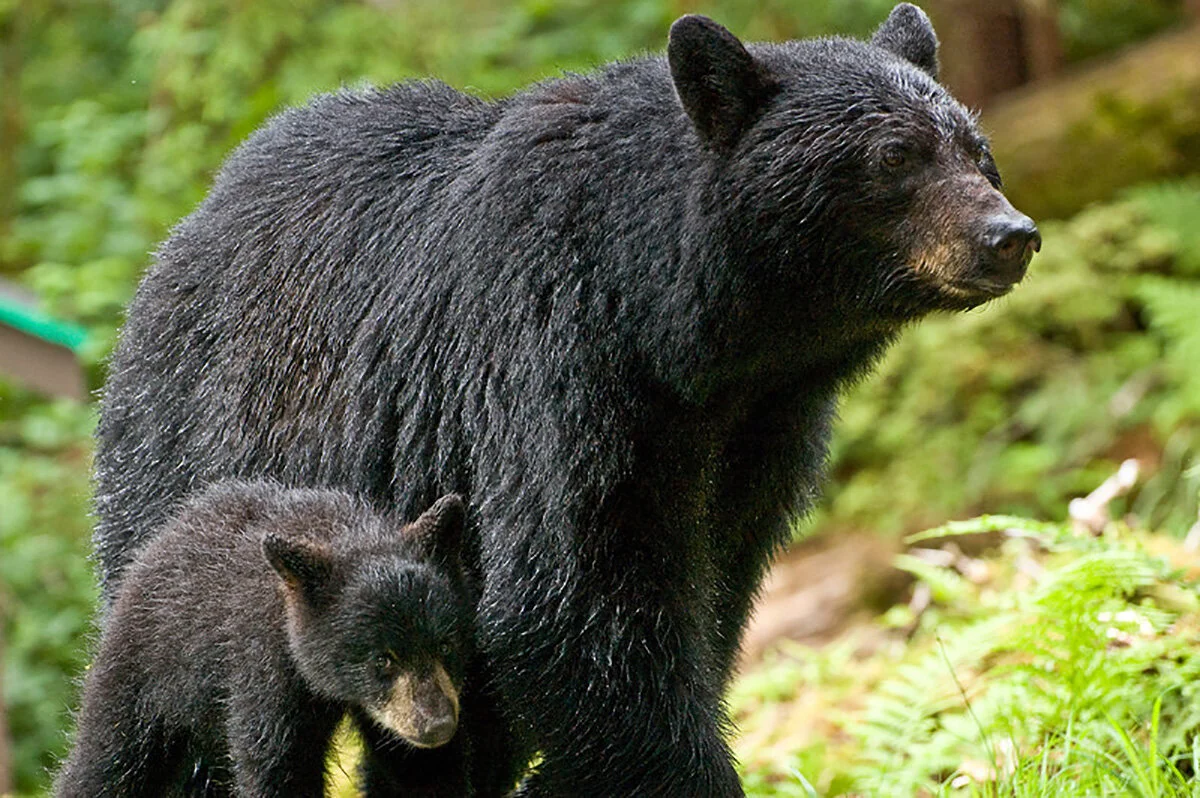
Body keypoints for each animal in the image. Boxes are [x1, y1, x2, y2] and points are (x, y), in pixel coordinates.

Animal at [56, 483, 474, 798]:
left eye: (446, 645)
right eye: (382, 659)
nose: (438, 725)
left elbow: (419, 772)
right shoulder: (262, 662)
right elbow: (274, 763)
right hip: (141, 670)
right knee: (107, 760)